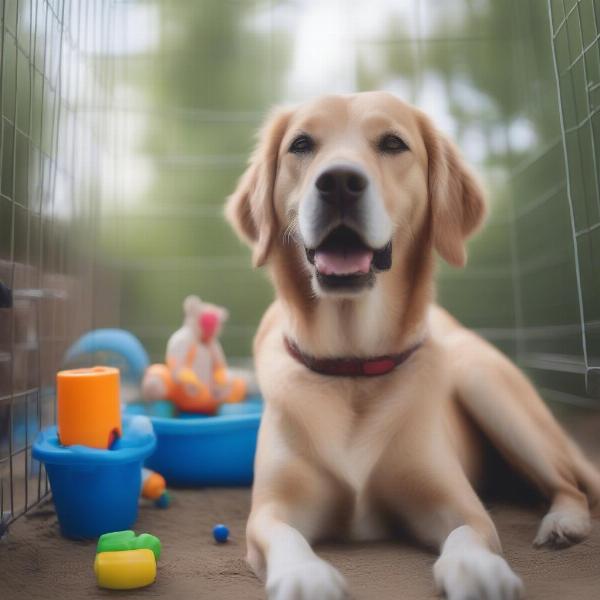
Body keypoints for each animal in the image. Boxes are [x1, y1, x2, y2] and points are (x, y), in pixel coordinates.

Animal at [225, 92, 600, 600]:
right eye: (301, 144)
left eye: (392, 143)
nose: (339, 182)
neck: (353, 367)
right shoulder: (272, 506)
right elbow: (283, 534)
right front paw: (305, 576)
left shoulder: (455, 500)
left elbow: (469, 532)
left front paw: (476, 569)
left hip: (485, 384)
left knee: (570, 484)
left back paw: (563, 521)